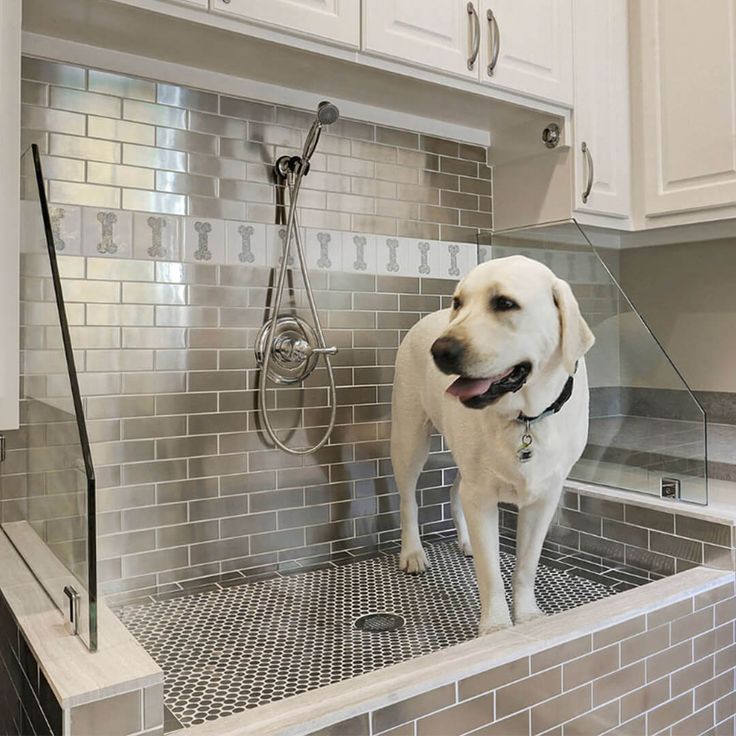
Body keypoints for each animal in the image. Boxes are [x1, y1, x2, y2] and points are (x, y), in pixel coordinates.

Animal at [392, 253, 592, 632]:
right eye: (458, 302)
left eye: (504, 303)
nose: (440, 350)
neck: (526, 417)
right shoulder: (481, 496)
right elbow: (491, 573)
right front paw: (496, 627)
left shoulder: (544, 497)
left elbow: (526, 567)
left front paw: (527, 617)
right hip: (410, 439)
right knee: (408, 498)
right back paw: (412, 552)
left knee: (455, 489)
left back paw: (466, 539)